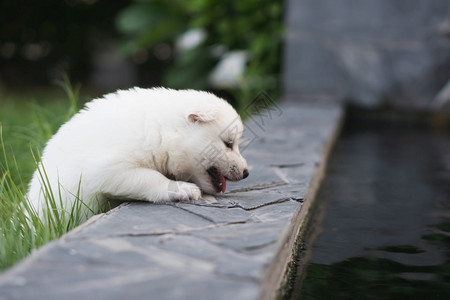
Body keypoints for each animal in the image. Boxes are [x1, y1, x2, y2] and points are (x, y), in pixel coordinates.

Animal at [27, 88, 250, 219]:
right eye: (228, 144)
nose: (246, 172)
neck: (161, 130)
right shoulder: (106, 168)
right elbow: (149, 177)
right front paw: (183, 188)